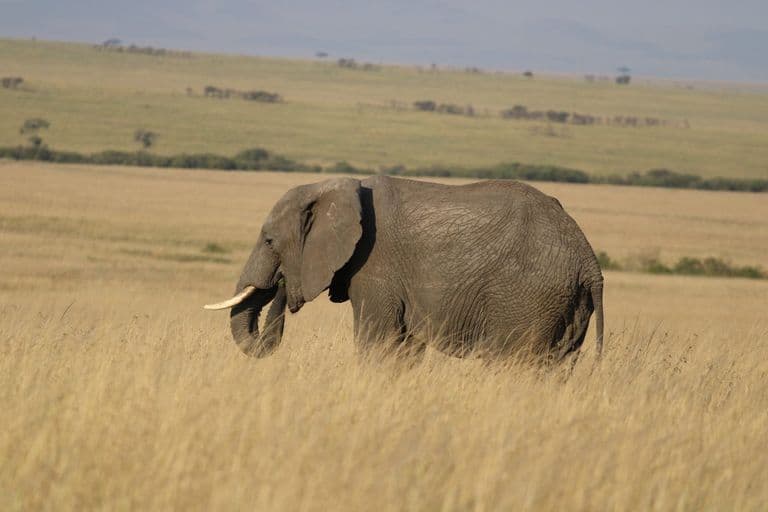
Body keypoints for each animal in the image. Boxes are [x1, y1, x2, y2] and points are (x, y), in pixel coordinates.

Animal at [204, 176, 604, 363]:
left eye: (270, 241)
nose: (283, 285)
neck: (339, 187)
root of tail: (590, 262)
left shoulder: (375, 267)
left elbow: (378, 343)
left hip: (529, 299)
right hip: (565, 304)